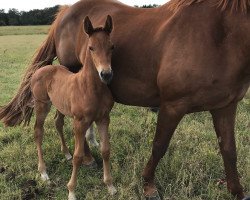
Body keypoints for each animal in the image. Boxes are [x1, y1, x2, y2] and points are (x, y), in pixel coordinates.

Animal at [30, 15, 116, 198]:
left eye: (111, 46)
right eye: (91, 47)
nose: (106, 74)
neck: (90, 87)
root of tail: (40, 70)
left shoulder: (104, 118)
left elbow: (105, 150)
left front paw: (110, 185)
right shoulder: (79, 122)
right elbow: (79, 156)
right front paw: (71, 191)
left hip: (59, 106)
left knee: (58, 122)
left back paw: (66, 153)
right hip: (42, 105)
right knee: (38, 132)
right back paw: (44, 172)